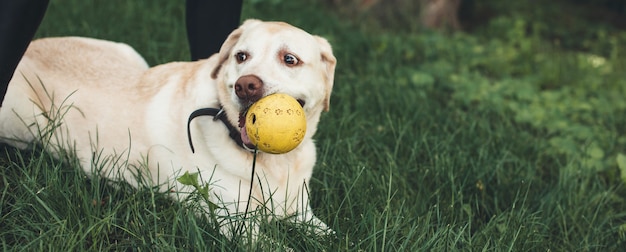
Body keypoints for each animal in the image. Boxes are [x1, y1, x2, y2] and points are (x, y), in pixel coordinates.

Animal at [0, 19, 336, 240]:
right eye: (241, 56)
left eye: (289, 59)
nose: (245, 85)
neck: (273, 165)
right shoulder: (236, 223)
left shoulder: (303, 213)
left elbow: (333, 236)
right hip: (24, 124)